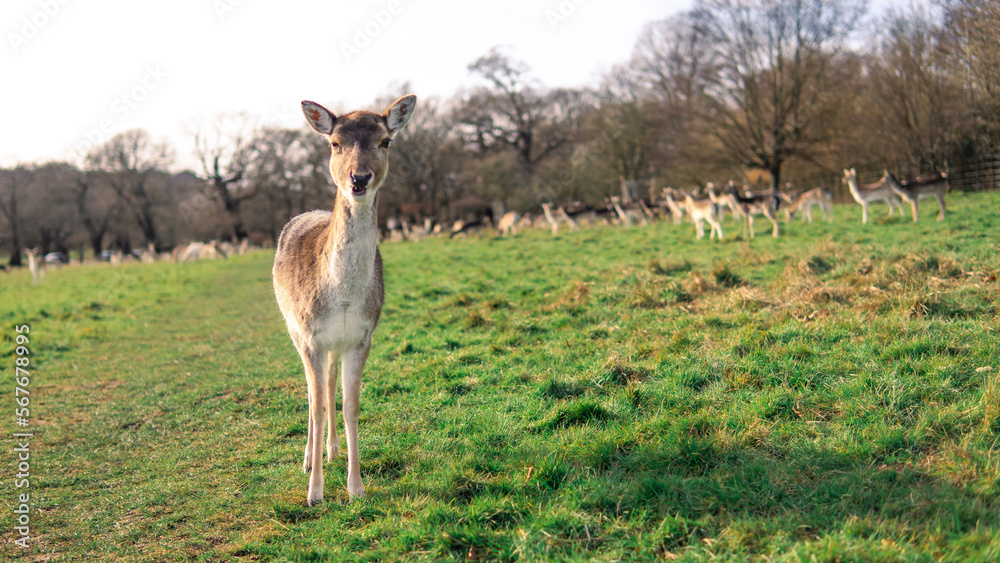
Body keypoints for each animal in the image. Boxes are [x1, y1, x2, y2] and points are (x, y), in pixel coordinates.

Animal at [272, 94, 416, 505]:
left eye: (385, 141)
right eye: (335, 144)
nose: (359, 178)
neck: (345, 298)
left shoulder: (362, 337)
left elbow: (351, 405)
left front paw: (357, 488)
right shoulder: (310, 337)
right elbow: (318, 405)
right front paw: (315, 493)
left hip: (334, 346)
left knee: (331, 381)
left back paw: (332, 450)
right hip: (293, 330)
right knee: (311, 393)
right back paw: (310, 458)